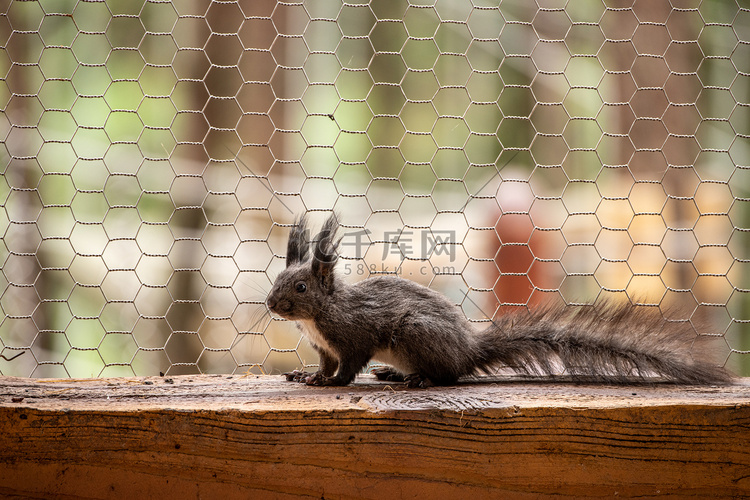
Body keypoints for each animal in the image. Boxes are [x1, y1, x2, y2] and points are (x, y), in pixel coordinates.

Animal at [268, 213, 736, 388]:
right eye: (276, 279)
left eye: (301, 288)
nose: (271, 305)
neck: (322, 315)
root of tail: (468, 350)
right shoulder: (324, 347)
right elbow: (324, 363)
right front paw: (306, 376)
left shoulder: (354, 336)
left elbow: (349, 367)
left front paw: (331, 383)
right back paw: (395, 373)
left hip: (419, 333)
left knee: (449, 376)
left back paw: (419, 379)